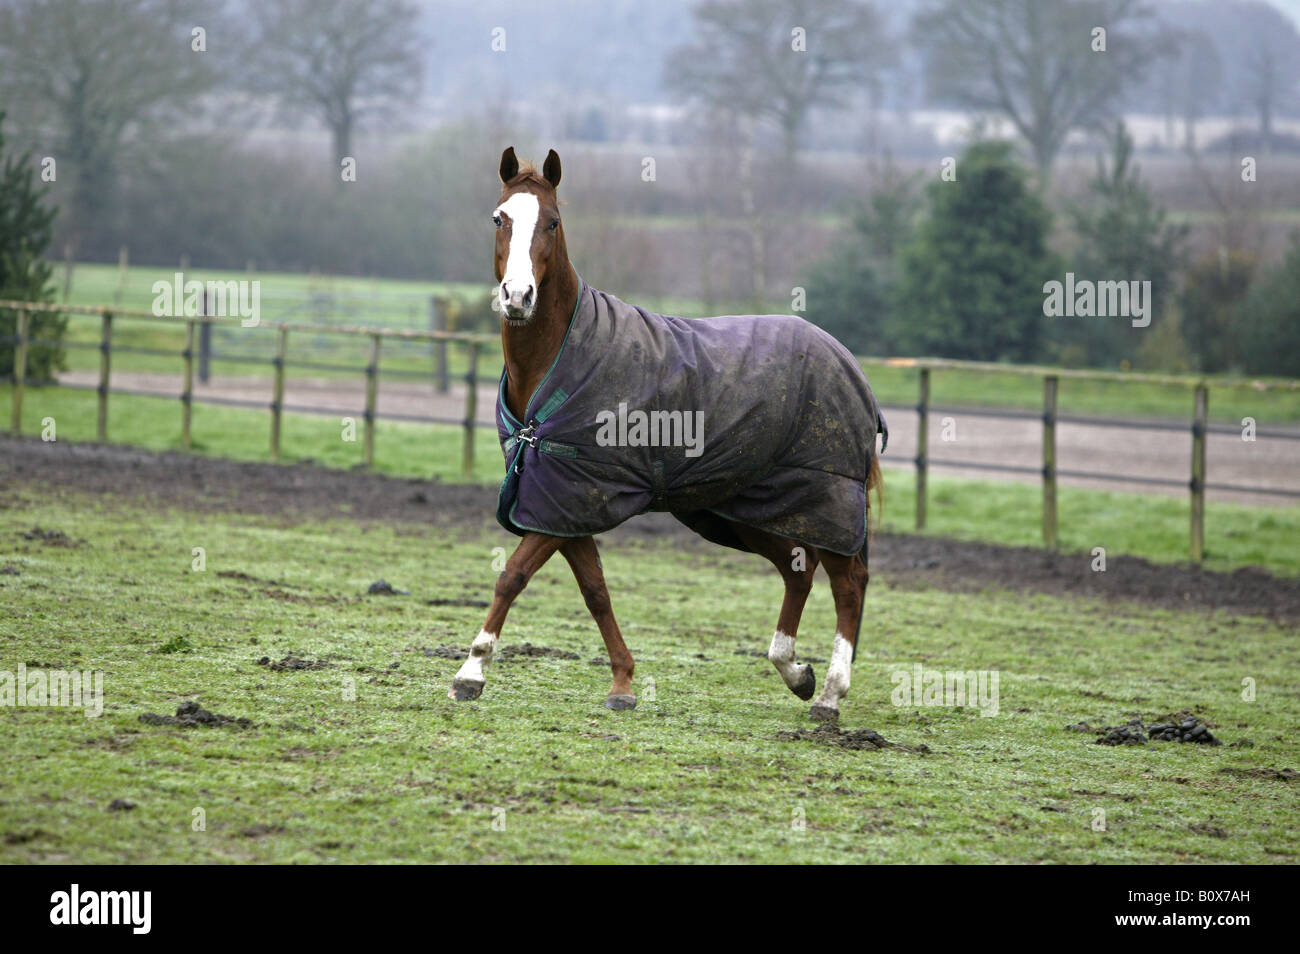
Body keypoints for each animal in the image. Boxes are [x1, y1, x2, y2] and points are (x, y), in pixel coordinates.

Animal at [450, 146, 886, 721]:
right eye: (499, 219)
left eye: (553, 221)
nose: (518, 296)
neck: (558, 357)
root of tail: (848, 362)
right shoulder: (564, 502)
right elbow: (595, 590)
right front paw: (622, 682)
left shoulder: (565, 502)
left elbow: (513, 576)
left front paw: (470, 672)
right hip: (738, 511)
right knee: (798, 571)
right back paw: (795, 672)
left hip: (827, 504)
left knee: (848, 583)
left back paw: (831, 695)